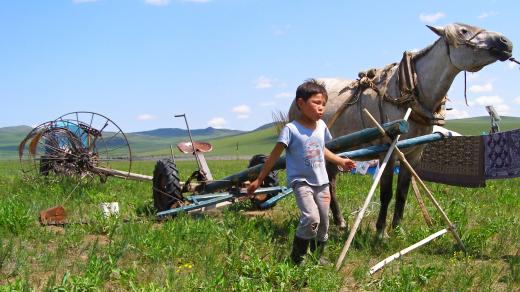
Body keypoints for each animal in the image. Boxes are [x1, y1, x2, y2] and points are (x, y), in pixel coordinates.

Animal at [290, 22, 512, 237]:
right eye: (463, 31)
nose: (506, 42)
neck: (407, 96)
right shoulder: (387, 153)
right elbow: (386, 192)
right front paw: (380, 232)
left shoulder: (413, 154)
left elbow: (402, 193)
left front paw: (397, 229)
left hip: (335, 151)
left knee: (331, 183)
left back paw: (340, 222)